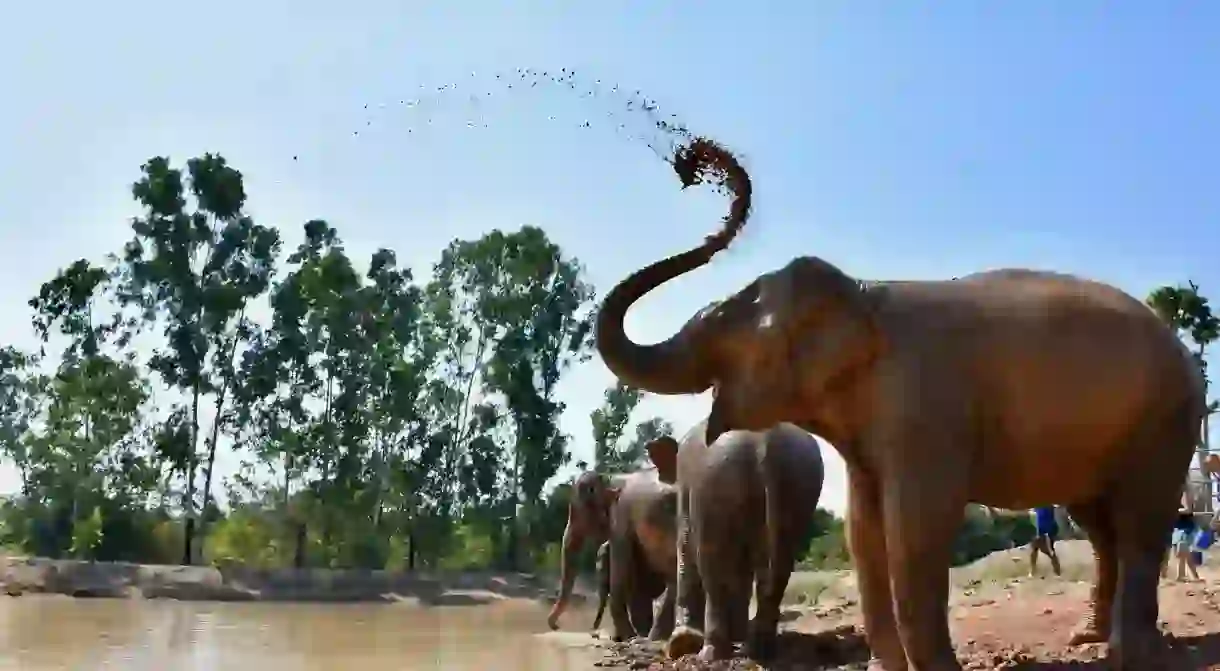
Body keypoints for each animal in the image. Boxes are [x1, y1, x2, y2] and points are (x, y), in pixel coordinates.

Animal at [649, 419, 829, 663]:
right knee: (777, 568)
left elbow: (686, 546)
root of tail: (767, 440)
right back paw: (759, 651)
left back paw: (711, 654)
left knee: (712, 566)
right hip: (799, 487)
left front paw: (681, 645)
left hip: (715, 482)